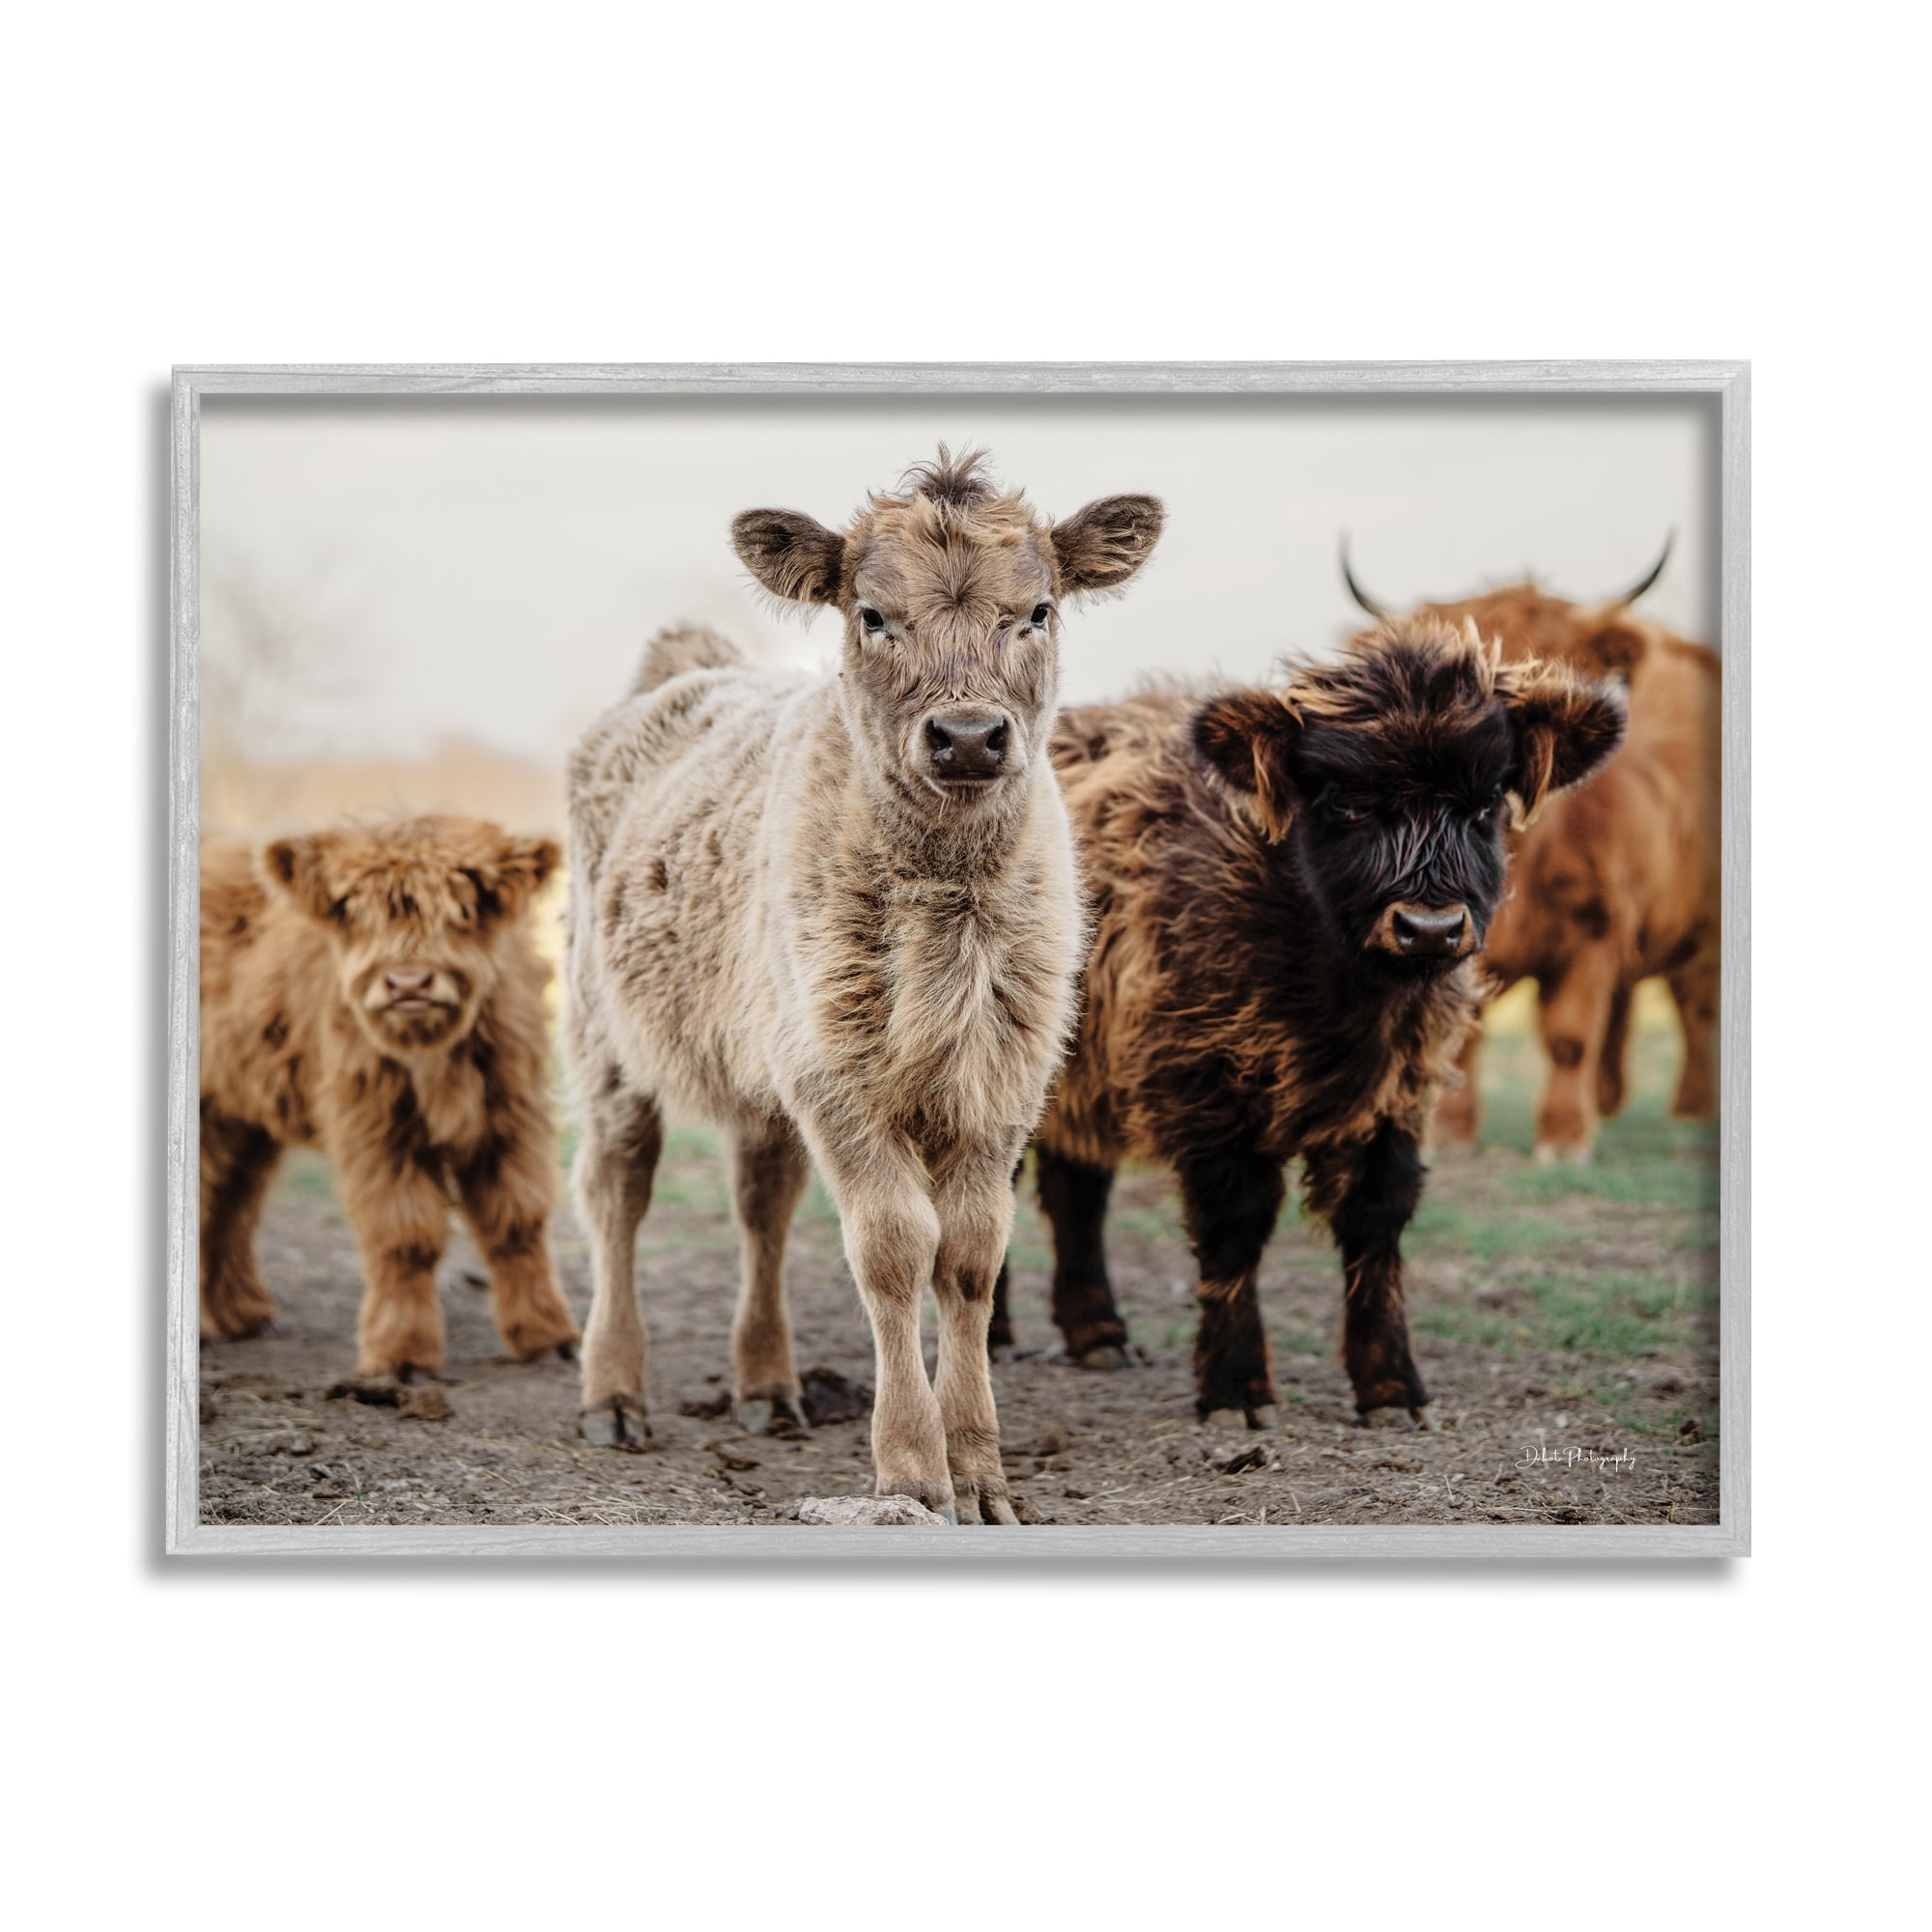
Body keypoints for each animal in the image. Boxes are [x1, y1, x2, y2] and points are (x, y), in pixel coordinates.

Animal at [198, 815, 580, 1378]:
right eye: (356, 913)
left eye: (462, 911)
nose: (408, 983)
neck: (432, 1054)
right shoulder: (376, 1127)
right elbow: (405, 1237)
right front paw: (402, 1356)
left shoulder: (510, 1116)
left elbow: (517, 1221)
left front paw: (548, 1338)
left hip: (244, 1115)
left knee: (232, 1202)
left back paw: (246, 1315)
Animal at [564, 449, 1162, 1521]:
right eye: (873, 615)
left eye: (1038, 610)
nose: (966, 736)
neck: (948, 912)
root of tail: (686, 669)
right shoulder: (840, 1083)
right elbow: (893, 1250)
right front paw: (914, 1469)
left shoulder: (1000, 1082)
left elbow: (968, 1257)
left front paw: (980, 1470)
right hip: (608, 1042)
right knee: (616, 1194)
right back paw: (614, 1393)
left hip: (768, 1055)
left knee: (761, 1202)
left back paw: (768, 1384)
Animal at [988, 618, 1627, 1426]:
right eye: (1347, 805)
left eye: (1485, 806)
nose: (1429, 927)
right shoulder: (1204, 1082)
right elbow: (1235, 1227)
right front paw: (1235, 1388)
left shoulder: (1400, 1091)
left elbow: (1377, 1219)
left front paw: (1391, 1387)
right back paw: (993, 1336)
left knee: (1077, 1186)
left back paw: (1097, 1333)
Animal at [1342, 544, 1721, 1159]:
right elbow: (1466, 1038)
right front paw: (1453, 1135)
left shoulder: (1595, 931)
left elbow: (1570, 1036)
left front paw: (1564, 1139)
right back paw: (1609, 1104)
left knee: (1695, 1009)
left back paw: (1690, 1109)